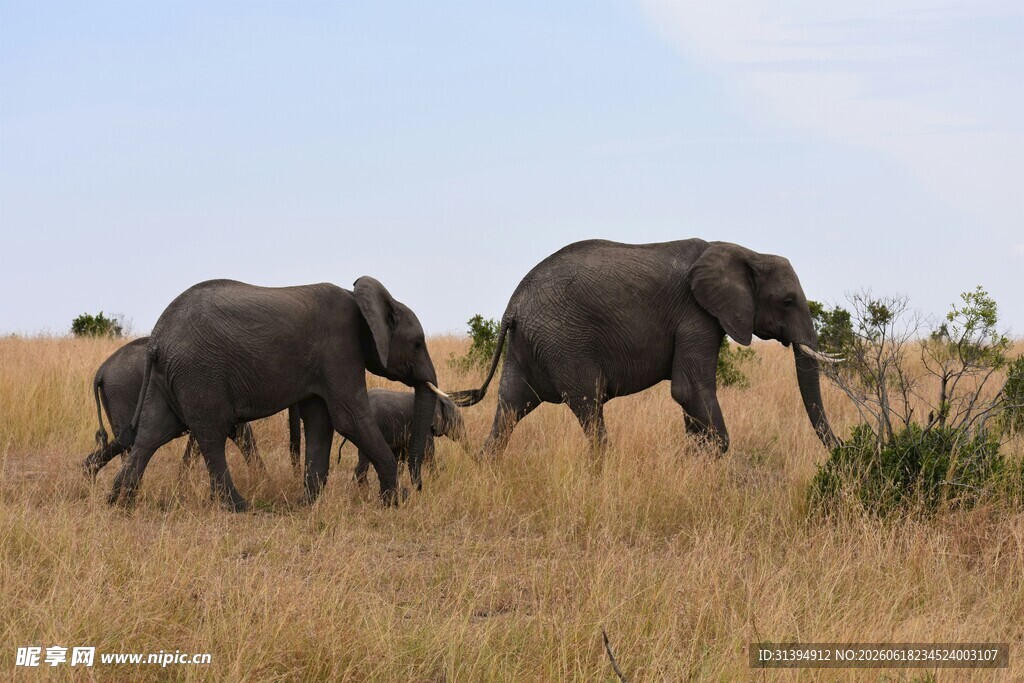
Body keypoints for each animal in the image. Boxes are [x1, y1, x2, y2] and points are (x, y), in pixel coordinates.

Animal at [106, 277, 446, 511]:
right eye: (417, 343)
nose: (417, 488)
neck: (362, 302)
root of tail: (157, 337)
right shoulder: (340, 348)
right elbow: (349, 418)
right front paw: (395, 500)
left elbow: (321, 421)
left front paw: (307, 503)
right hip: (199, 372)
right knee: (211, 434)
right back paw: (239, 507)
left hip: (167, 376)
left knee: (152, 434)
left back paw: (119, 501)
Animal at [450, 239, 841, 454]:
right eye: (787, 301)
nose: (842, 449)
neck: (745, 251)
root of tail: (512, 307)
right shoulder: (696, 315)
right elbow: (689, 390)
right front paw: (706, 458)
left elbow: (689, 400)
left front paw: (694, 459)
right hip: (563, 342)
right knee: (588, 404)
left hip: (527, 346)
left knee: (510, 407)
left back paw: (486, 467)